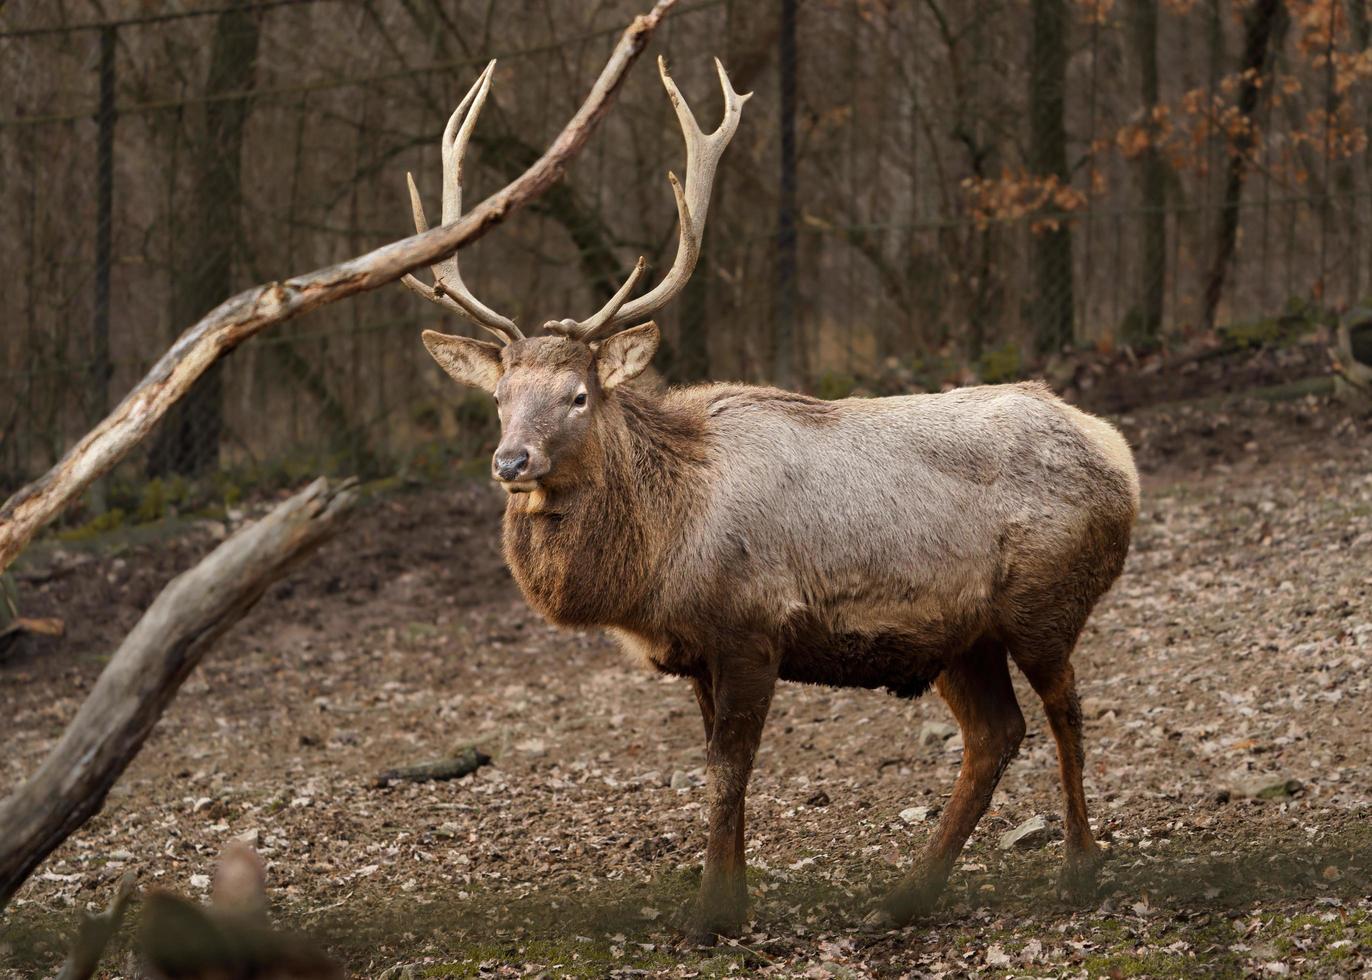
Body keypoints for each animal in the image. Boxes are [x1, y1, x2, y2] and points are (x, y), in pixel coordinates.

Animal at [400, 55, 1141, 938]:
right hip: (964, 636)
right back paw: (906, 895)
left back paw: (1080, 868)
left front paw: (711, 917)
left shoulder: (752, 624)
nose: (511, 460)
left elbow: (729, 769)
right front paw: (731, 898)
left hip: (1044, 603)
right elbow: (721, 769)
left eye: (578, 395)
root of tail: (1119, 453)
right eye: (499, 396)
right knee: (997, 733)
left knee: (1067, 709)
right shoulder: (696, 650)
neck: (660, 557)